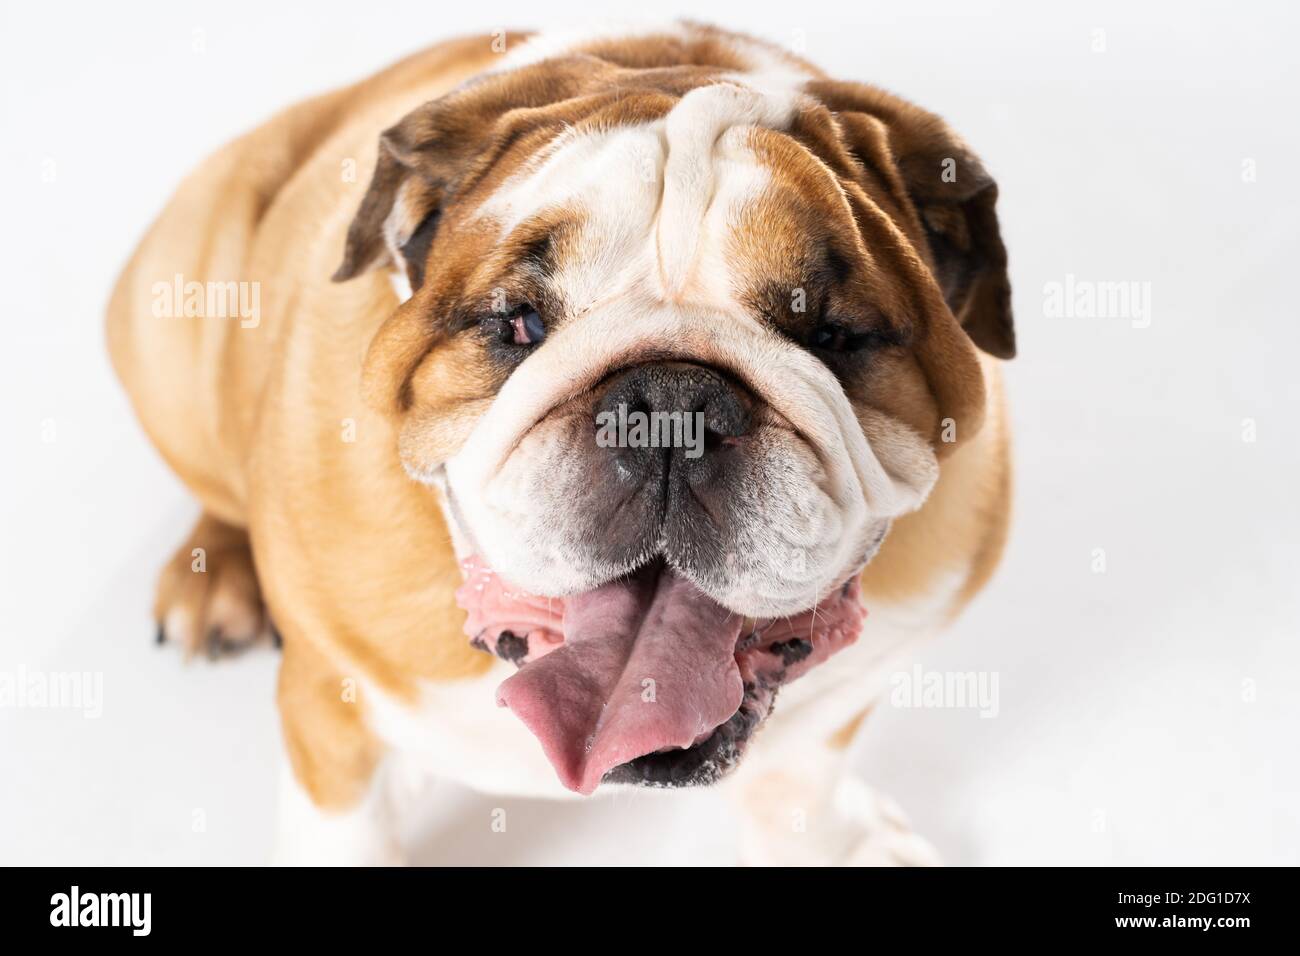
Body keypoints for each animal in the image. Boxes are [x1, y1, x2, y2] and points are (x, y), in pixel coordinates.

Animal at [104, 22, 1013, 868]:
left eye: (832, 335)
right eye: (519, 323)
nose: (669, 408)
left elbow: (804, 774)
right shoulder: (331, 704)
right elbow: (346, 826)